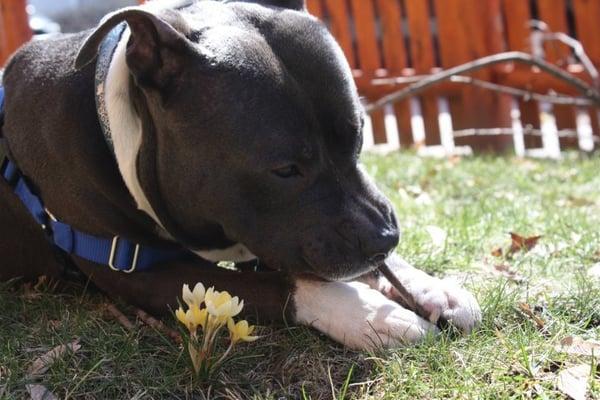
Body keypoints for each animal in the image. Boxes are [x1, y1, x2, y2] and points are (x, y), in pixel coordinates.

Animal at [0, 0, 480, 348]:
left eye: (360, 136)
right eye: (285, 169)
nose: (385, 238)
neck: (114, 123)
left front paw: (431, 286)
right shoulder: (138, 273)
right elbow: (280, 286)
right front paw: (369, 314)